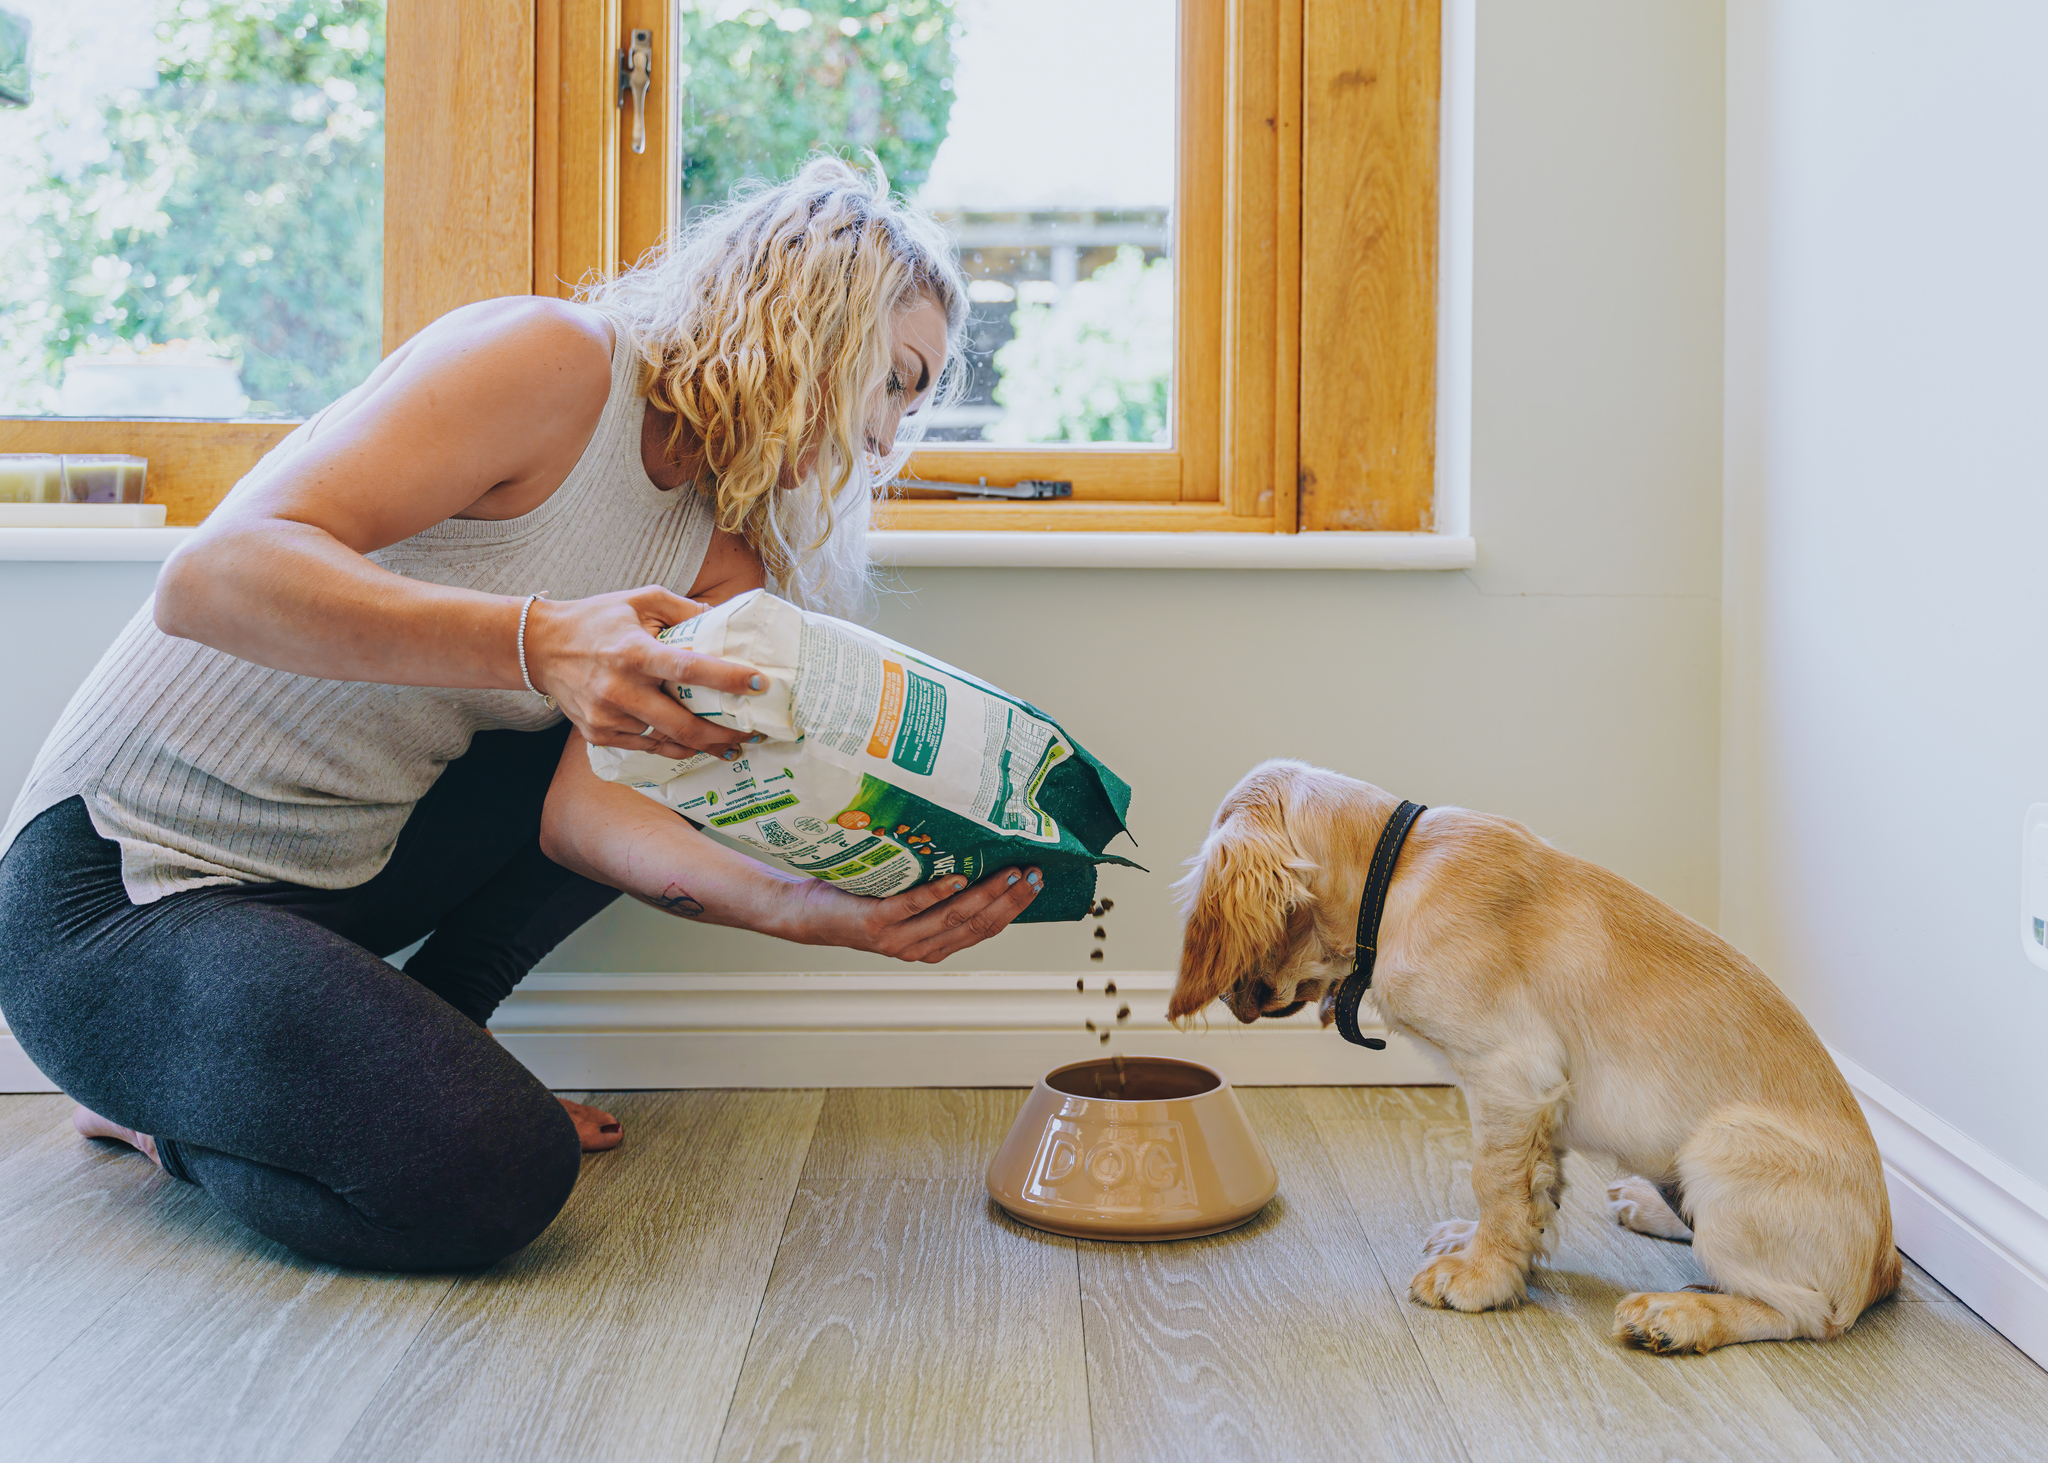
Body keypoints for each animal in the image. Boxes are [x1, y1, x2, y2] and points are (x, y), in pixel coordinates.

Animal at [1171, 758, 1900, 1352]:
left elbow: (1494, 1180)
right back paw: (1649, 1207)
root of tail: (1886, 1262)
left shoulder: (1509, 1073)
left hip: (1721, 1149)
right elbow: (1533, 1188)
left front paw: (1480, 1276)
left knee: (1804, 1311)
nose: (1229, 997)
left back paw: (1677, 1315)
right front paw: (1498, 1251)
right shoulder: (1536, 1099)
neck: (1396, 872)